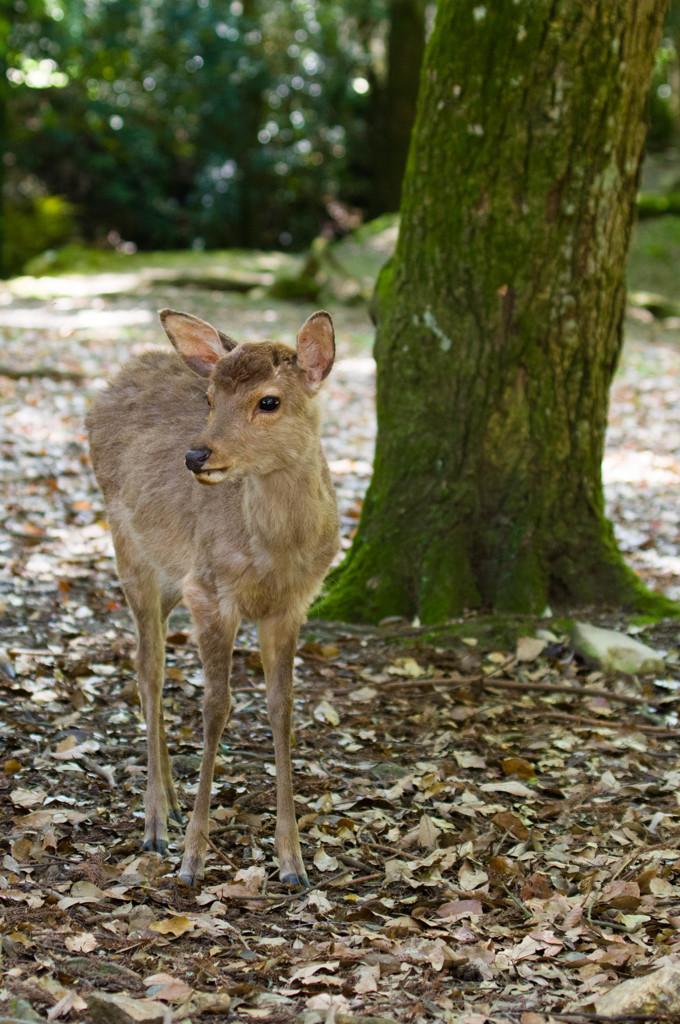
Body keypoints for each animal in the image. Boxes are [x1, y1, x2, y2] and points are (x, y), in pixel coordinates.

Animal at [86, 307, 337, 884]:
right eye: (208, 398)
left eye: (269, 401)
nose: (196, 455)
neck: (273, 554)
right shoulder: (210, 591)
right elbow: (216, 706)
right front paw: (193, 858)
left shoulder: (292, 605)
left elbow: (282, 707)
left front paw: (292, 860)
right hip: (130, 547)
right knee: (148, 667)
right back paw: (157, 821)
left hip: (171, 578)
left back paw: (173, 802)